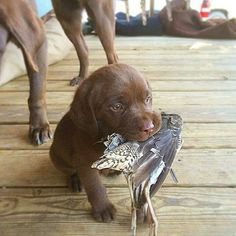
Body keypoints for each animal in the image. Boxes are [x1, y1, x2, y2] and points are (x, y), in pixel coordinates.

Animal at [49, 64, 161, 223]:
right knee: (71, 171)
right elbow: (95, 187)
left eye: (147, 99)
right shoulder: (84, 163)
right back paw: (76, 180)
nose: (150, 127)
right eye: (117, 107)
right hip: (56, 158)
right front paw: (103, 209)